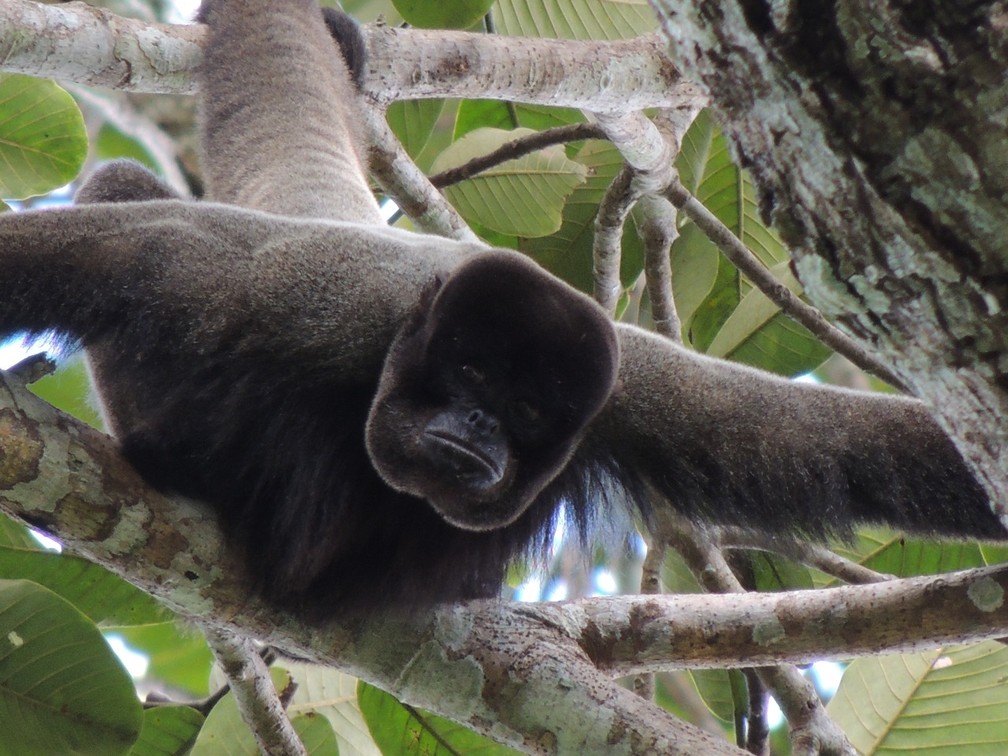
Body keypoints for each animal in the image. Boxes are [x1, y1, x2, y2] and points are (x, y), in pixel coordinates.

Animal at [0, 0, 1003, 617]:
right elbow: (121, 250)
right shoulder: (296, 292)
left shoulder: (646, 392)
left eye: (523, 409)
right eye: (470, 371)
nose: (477, 424)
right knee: (125, 190)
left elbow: (850, 444)